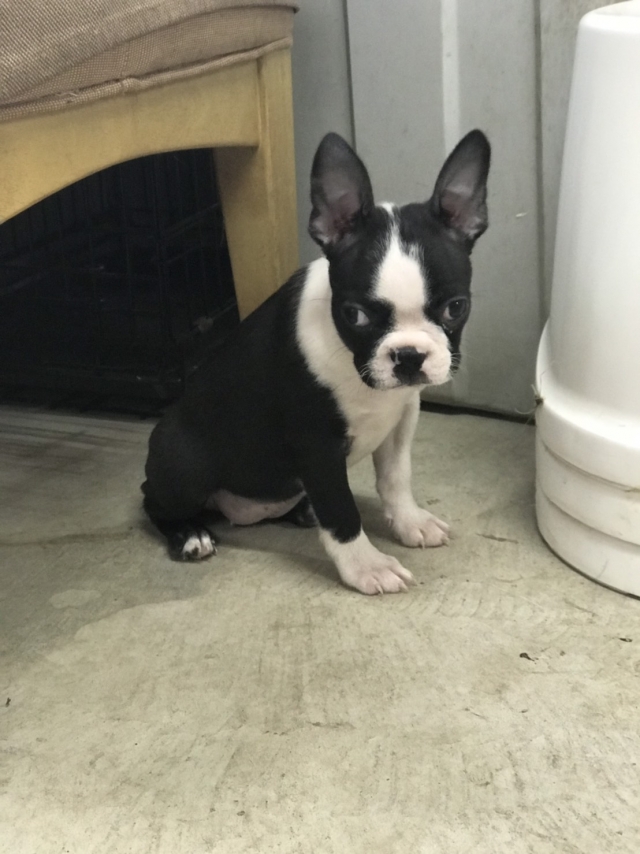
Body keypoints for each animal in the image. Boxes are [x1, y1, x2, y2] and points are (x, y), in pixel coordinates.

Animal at [142, 130, 490, 594]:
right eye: (354, 315)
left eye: (456, 308)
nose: (408, 355)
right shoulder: (316, 444)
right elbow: (341, 509)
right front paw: (366, 566)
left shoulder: (401, 417)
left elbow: (396, 478)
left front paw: (409, 522)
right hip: (183, 462)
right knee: (153, 497)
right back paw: (190, 533)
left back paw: (301, 510)